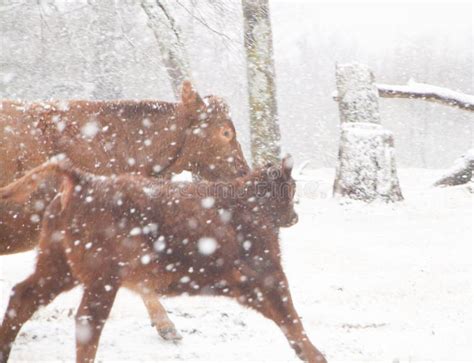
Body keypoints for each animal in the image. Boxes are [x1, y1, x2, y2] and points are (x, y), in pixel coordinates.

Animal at [0, 156, 326, 363]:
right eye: (291, 188)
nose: (294, 217)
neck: (250, 202)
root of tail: (84, 181)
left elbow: (285, 319)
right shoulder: (267, 275)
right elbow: (289, 316)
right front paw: (317, 356)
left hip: (59, 270)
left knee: (23, 296)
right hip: (102, 280)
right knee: (87, 322)